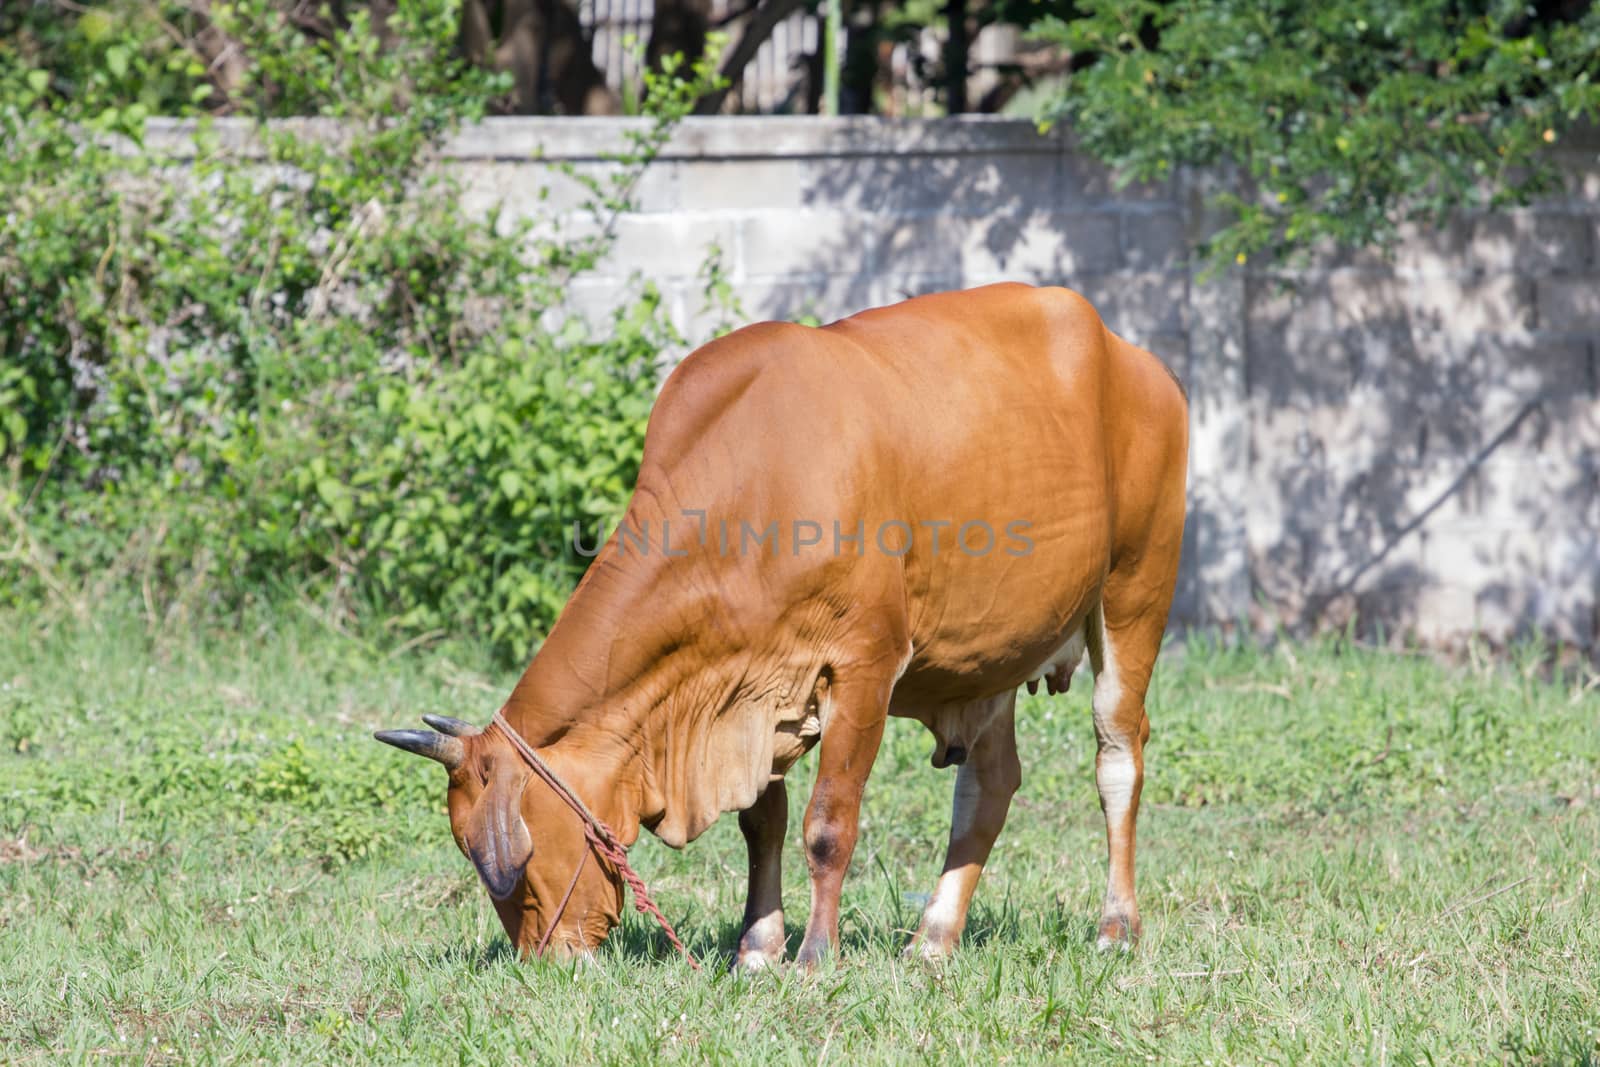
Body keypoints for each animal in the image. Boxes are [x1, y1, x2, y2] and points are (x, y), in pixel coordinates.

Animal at [374, 283, 1190, 966]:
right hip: (993, 655)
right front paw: (757, 949)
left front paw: (814, 955)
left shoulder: (865, 663)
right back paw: (932, 940)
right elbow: (760, 826)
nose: (546, 960)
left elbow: (829, 825)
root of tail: (1137, 360)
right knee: (988, 787)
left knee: (1118, 755)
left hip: (1136, 588)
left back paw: (1115, 926)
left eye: (509, 858)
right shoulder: (751, 687)